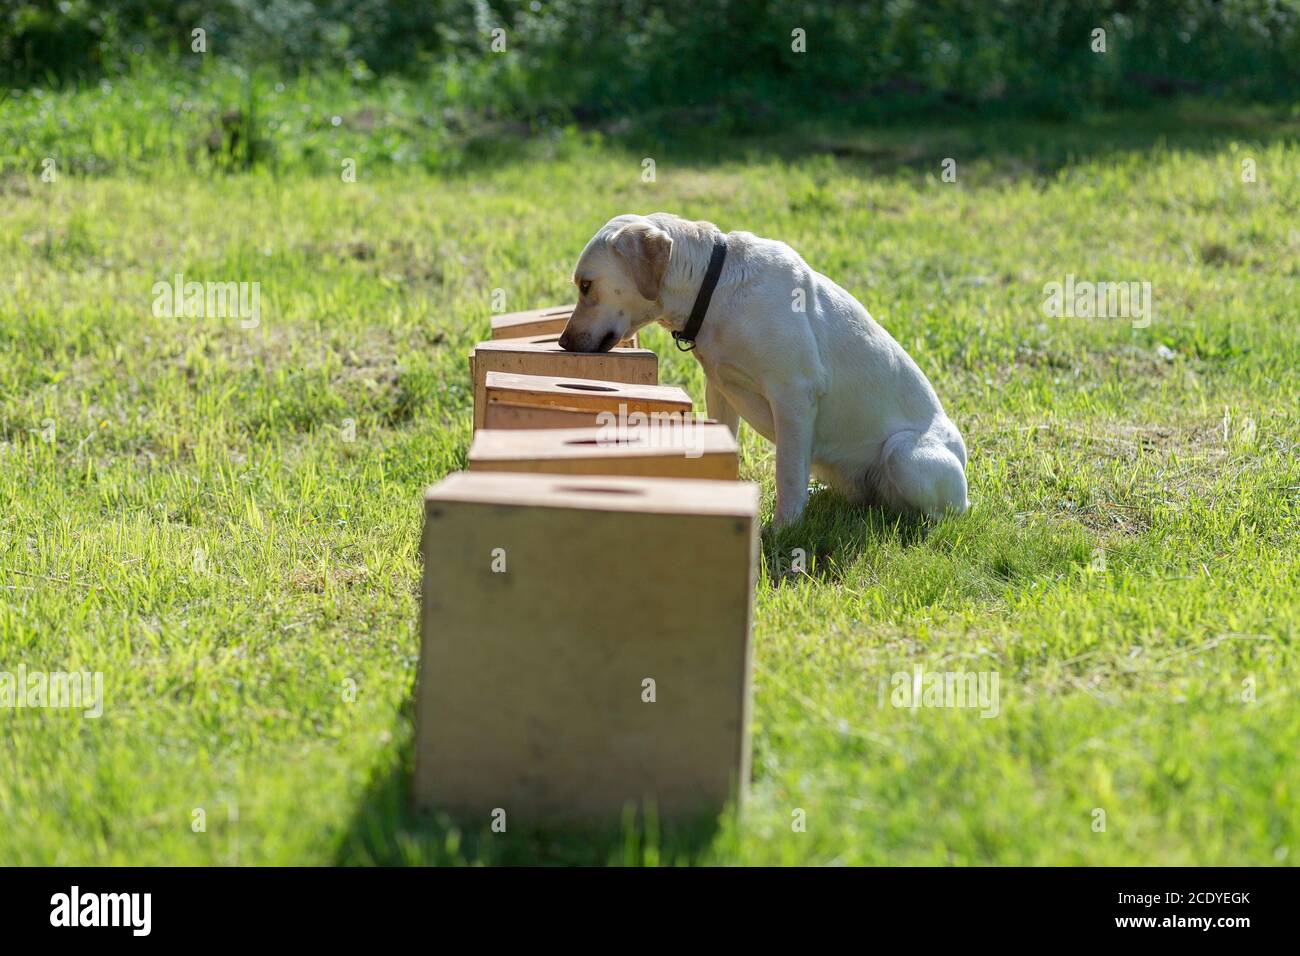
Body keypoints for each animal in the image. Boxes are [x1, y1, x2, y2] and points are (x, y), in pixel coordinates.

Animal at [559, 213, 967, 528]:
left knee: (939, 514)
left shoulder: (793, 396)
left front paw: (784, 528)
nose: (562, 342)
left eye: (586, 285)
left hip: (904, 454)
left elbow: (786, 471)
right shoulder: (719, 391)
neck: (714, 289)